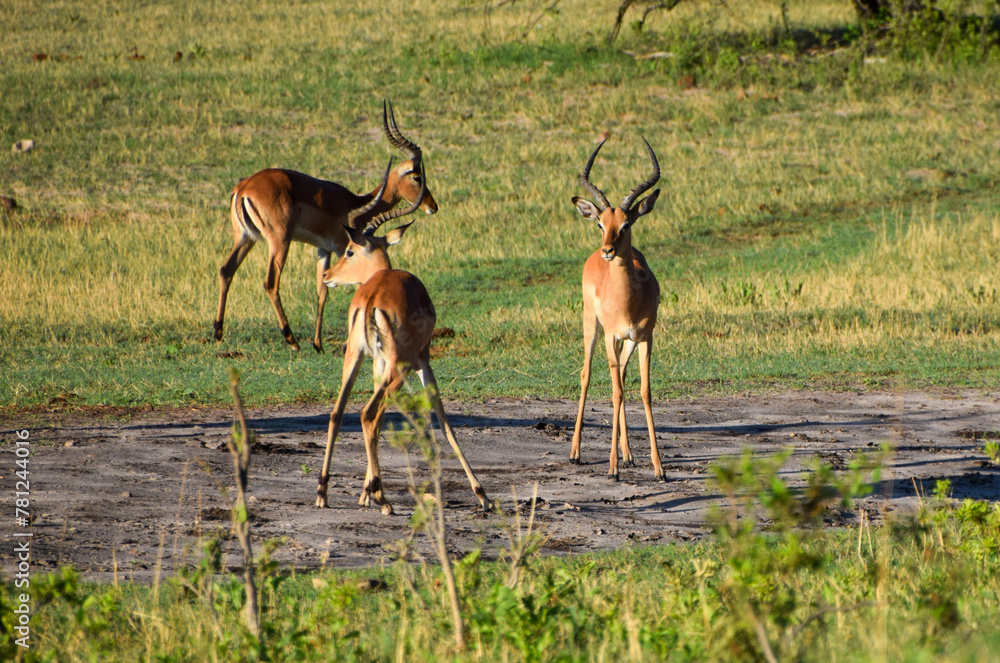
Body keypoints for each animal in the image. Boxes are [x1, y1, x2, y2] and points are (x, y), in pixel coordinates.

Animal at [213, 100, 438, 352]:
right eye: (417, 177)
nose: (433, 206)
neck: (355, 203)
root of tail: (244, 187)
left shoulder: (324, 249)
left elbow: (322, 290)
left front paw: (318, 344)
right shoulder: (342, 246)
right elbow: (355, 284)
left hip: (245, 237)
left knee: (226, 270)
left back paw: (218, 332)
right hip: (279, 240)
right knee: (270, 282)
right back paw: (291, 340)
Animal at [314, 163, 490, 515]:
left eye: (350, 250)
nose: (327, 276)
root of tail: (372, 296)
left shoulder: (377, 363)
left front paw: (365, 492)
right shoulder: (423, 359)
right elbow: (442, 416)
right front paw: (482, 494)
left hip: (356, 357)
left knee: (340, 412)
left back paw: (325, 492)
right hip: (400, 364)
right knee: (368, 413)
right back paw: (384, 500)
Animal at [569, 137, 665, 482]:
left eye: (626, 223)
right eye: (601, 223)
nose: (608, 250)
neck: (627, 303)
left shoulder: (646, 337)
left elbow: (644, 391)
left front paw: (659, 468)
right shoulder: (611, 336)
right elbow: (615, 393)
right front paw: (611, 469)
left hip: (628, 341)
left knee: (621, 374)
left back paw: (628, 454)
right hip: (592, 326)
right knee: (586, 374)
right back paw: (576, 453)